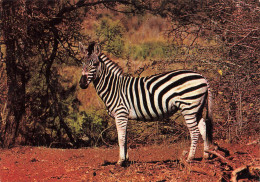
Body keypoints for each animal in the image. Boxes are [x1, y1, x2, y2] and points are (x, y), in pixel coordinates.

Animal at [79, 42, 213, 166]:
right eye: (82, 64)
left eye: (95, 64)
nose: (82, 84)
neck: (114, 87)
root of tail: (202, 77)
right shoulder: (124, 116)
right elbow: (125, 138)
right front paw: (126, 160)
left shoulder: (120, 113)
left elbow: (121, 138)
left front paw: (120, 161)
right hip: (197, 108)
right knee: (203, 127)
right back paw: (206, 155)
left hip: (188, 107)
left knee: (194, 132)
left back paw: (189, 158)